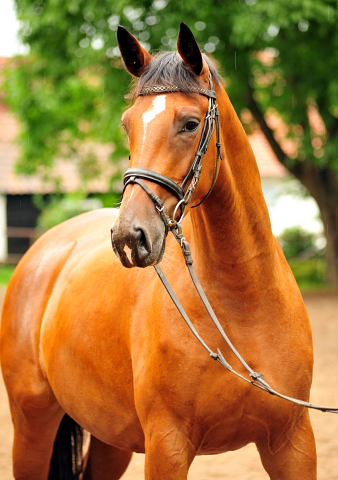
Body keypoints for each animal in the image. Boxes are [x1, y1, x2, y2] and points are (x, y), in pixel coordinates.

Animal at [0, 23, 316, 480]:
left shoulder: (292, 443)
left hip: (112, 437)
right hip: (32, 426)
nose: (128, 237)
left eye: (189, 123)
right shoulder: (167, 445)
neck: (244, 306)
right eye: (127, 124)